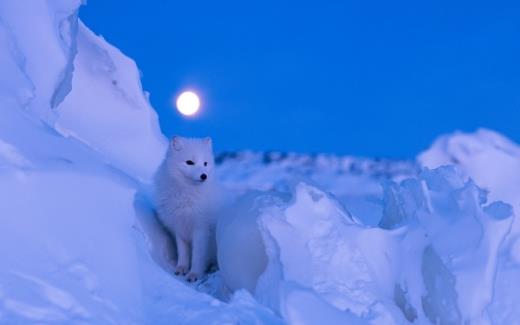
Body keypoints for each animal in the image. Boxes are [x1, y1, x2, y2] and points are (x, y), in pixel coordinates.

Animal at [154, 135, 219, 280]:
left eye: (205, 163)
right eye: (189, 162)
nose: (204, 176)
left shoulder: (201, 230)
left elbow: (198, 256)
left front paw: (194, 274)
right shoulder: (179, 228)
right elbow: (183, 252)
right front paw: (181, 268)